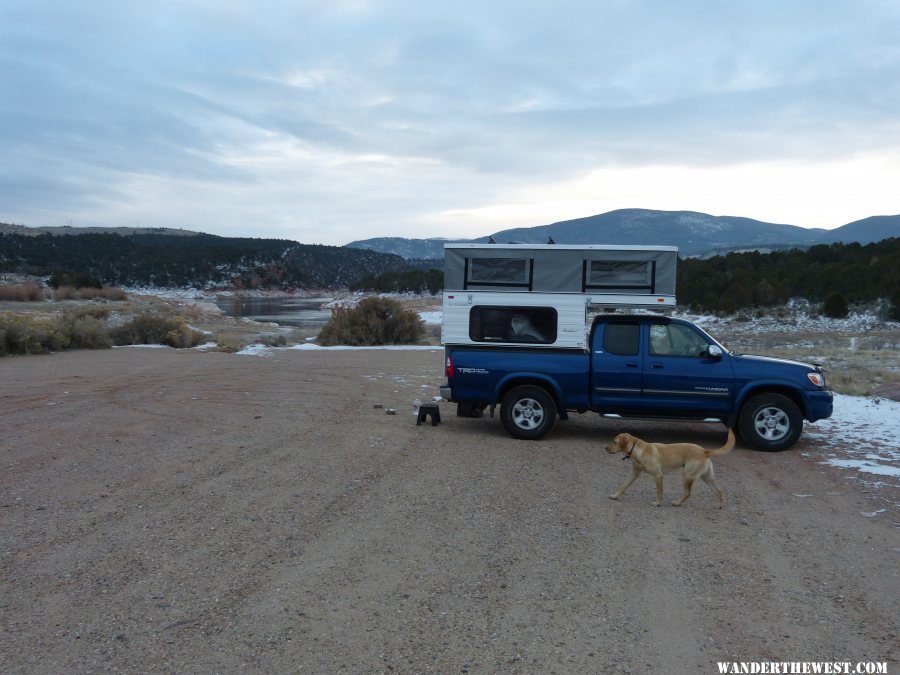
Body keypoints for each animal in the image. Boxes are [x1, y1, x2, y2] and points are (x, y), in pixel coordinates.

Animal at [608, 430, 736, 510]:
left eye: (614, 441)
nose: (605, 448)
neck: (638, 450)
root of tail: (704, 451)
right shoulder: (634, 474)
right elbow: (623, 486)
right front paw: (615, 495)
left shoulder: (658, 476)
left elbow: (659, 492)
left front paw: (658, 503)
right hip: (706, 478)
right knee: (718, 491)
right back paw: (720, 505)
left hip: (687, 475)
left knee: (688, 492)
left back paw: (677, 503)